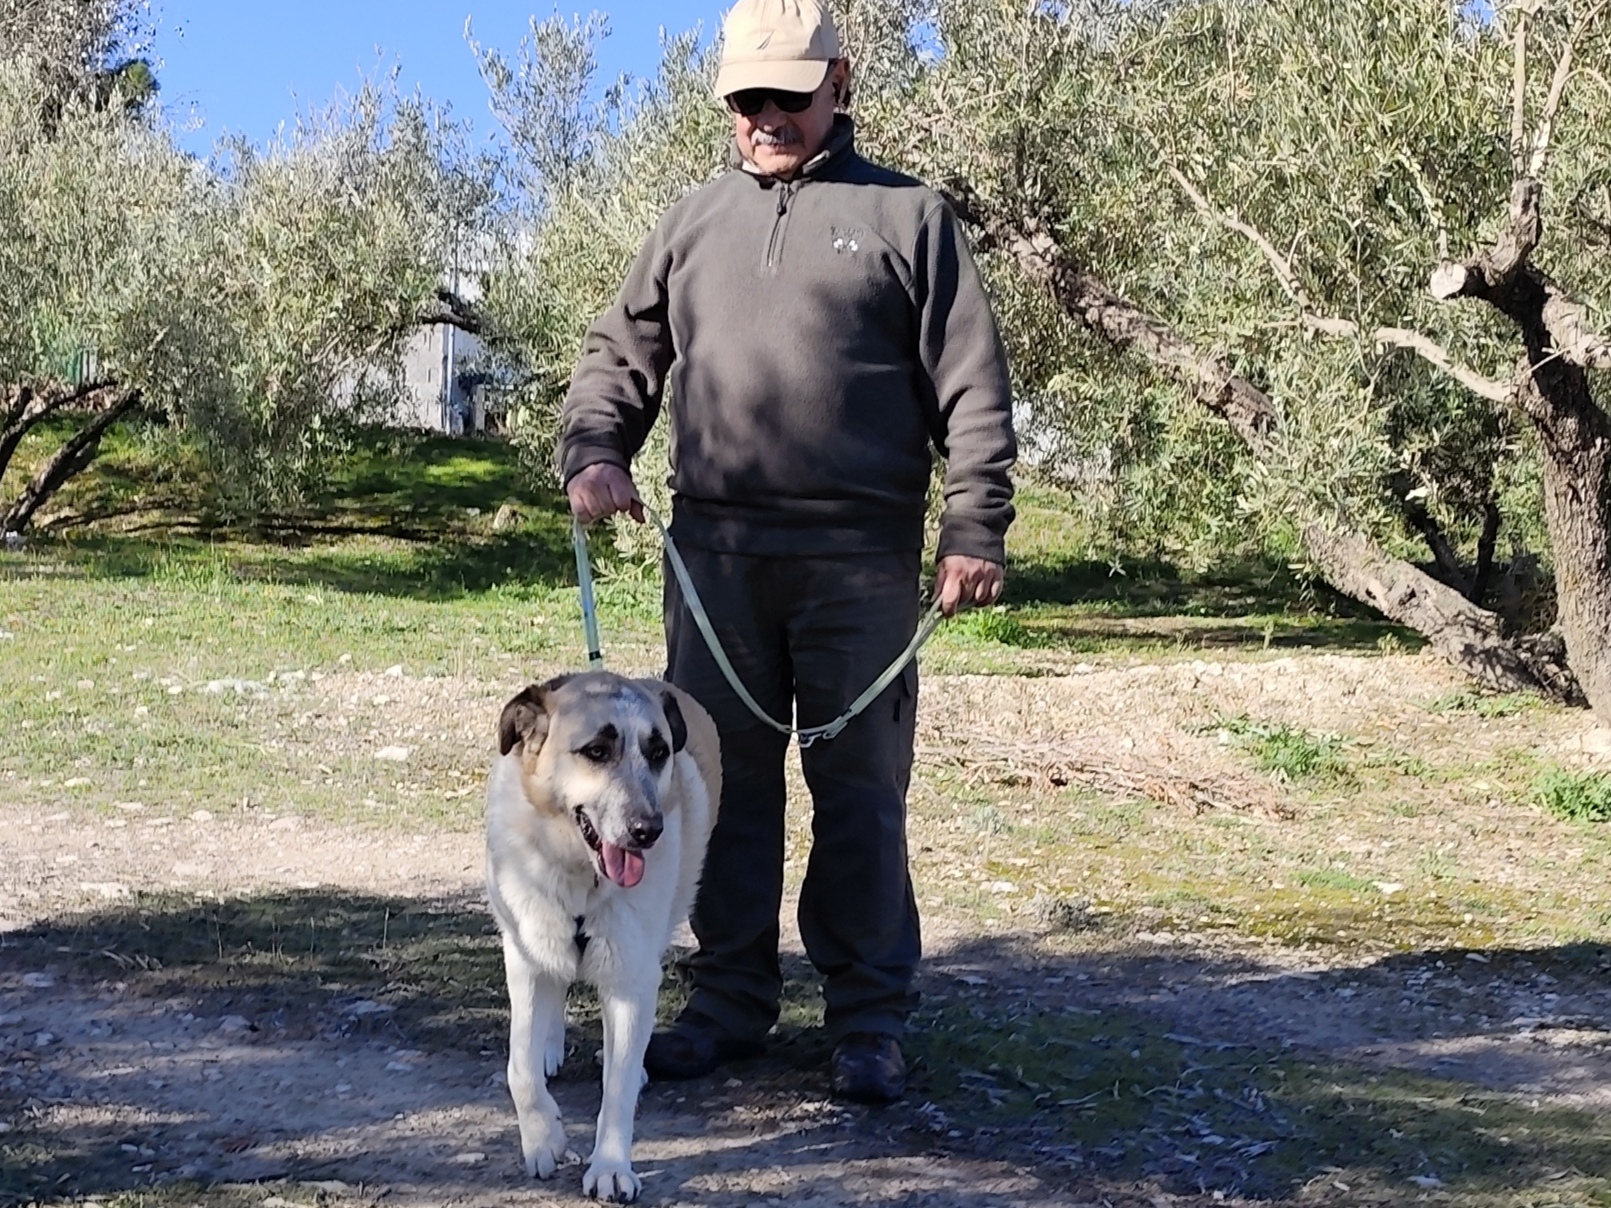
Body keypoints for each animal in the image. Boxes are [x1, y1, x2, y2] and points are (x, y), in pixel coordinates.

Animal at [486, 671, 720, 1202]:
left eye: (658, 752)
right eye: (596, 751)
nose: (647, 830)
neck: (580, 876)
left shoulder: (630, 981)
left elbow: (618, 1086)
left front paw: (611, 1166)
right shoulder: (524, 958)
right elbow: (518, 1067)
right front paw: (544, 1139)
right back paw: (549, 1046)